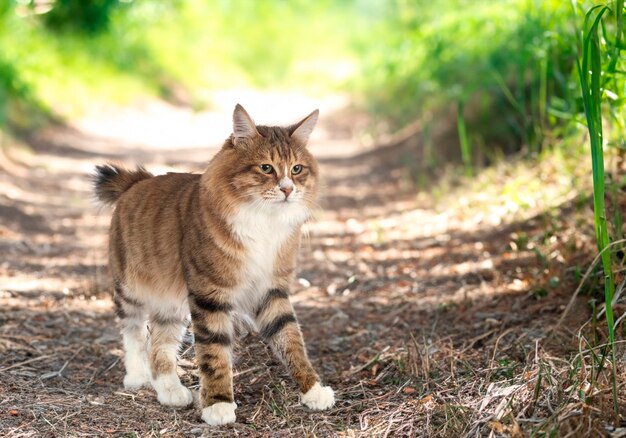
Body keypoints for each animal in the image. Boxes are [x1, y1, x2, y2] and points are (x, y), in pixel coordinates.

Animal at [92, 104, 334, 426]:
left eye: (296, 169)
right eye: (266, 168)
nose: (287, 189)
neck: (263, 223)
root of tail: (139, 180)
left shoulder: (272, 291)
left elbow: (292, 342)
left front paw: (313, 390)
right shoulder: (210, 295)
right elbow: (214, 353)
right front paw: (218, 404)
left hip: (170, 306)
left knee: (159, 348)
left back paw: (170, 391)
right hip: (130, 289)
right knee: (133, 332)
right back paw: (137, 376)